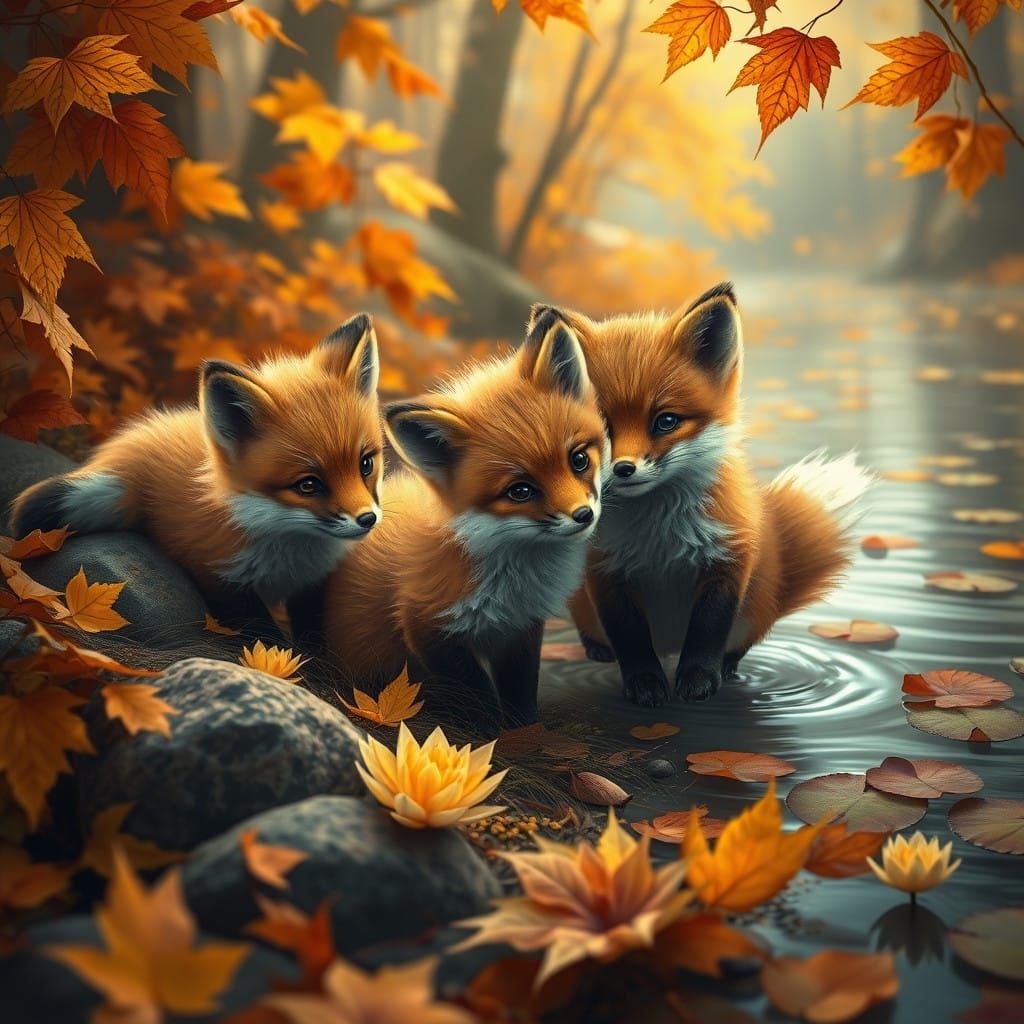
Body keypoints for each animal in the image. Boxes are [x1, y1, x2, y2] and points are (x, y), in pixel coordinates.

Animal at [321, 310, 606, 733]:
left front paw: (524, 728)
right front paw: (489, 737)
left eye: (579, 460)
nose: (583, 515)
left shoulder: (521, 627)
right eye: (521, 491)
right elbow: (474, 694)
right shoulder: (428, 624)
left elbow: (521, 688)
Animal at [533, 283, 872, 707]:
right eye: (602, 426)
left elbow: (707, 635)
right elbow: (631, 641)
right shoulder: (606, 573)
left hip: (752, 613)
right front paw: (645, 685)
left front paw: (698, 682)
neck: (658, 541)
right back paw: (598, 649)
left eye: (665, 421)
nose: (623, 469)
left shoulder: (727, 563)